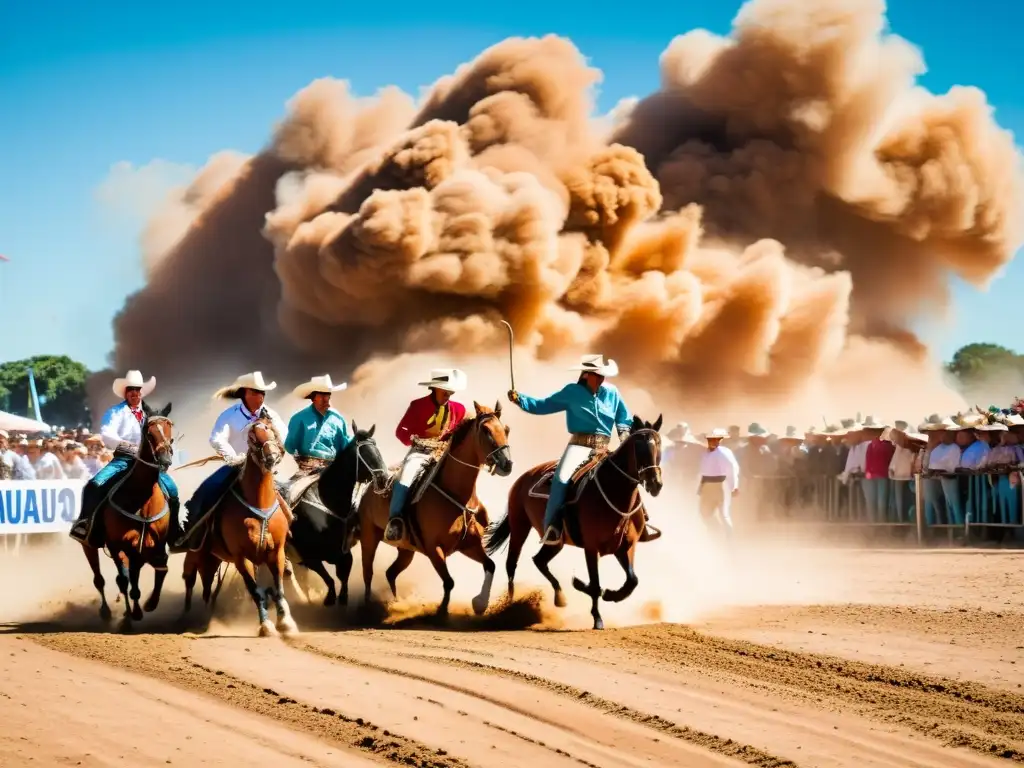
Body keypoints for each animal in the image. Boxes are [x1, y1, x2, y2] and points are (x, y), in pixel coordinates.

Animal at [182, 415, 294, 638]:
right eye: (252, 436)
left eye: (271, 429)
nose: (272, 457)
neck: (260, 501)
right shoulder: (241, 557)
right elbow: (256, 591)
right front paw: (266, 626)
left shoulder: (276, 551)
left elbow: (277, 587)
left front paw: (285, 622)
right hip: (198, 554)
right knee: (192, 580)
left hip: (212, 560)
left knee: (207, 585)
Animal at [284, 421, 387, 606]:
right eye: (363, 454)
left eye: (376, 448)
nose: (383, 479)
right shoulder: (310, 558)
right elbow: (329, 579)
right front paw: (330, 598)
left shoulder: (344, 554)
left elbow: (342, 579)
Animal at [356, 405, 516, 618]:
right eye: (486, 430)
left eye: (506, 430)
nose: (507, 464)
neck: (457, 495)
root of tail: (370, 489)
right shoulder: (434, 549)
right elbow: (449, 581)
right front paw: (442, 611)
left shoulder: (469, 545)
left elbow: (490, 565)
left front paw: (480, 603)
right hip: (369, 539)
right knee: (368, 572)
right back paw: (368, 607)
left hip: (406, 550)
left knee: (390, 573)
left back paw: (395, 604)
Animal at [485, 415, 663, 630]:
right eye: (639, 446)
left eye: (659, 444)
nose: (655, 483)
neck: (614, 491)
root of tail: (523, 478)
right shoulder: (591, 547)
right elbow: (595, 584)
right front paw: (597, 618)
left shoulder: (626, 546)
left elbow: (632, 581)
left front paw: (610, 594)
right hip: (519, 525)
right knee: (512, 563)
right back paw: (509, 606)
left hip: (555, 542)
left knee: (539, 560)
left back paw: (560, 597)